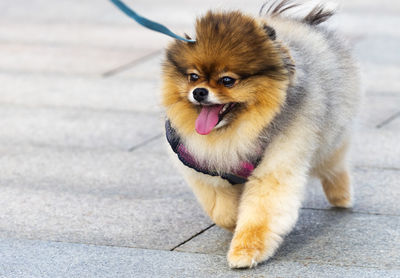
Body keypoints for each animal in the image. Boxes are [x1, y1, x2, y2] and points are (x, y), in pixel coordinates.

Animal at [161, 0, 360, 270]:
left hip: (330, 135)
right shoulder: (204, 168)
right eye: (193, 76)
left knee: (334, 164)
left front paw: (245, 252)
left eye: (227, 80)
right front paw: (233, 221)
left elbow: (260, 214)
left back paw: (341, 196)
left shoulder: (277, 163)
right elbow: (221, 211)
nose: (199, 92)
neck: (236, 131)